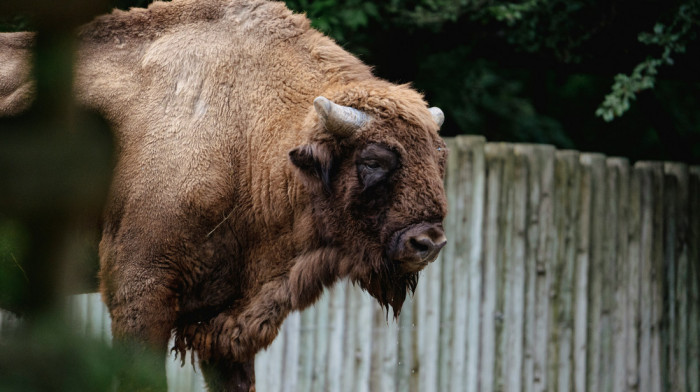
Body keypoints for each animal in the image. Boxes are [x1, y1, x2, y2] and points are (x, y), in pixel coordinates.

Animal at [0, 0, 448, 388]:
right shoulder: (139, 292)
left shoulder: (227, 325)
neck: (246, 136)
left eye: (439, 158)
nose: (428, 242)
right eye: (373, 160)